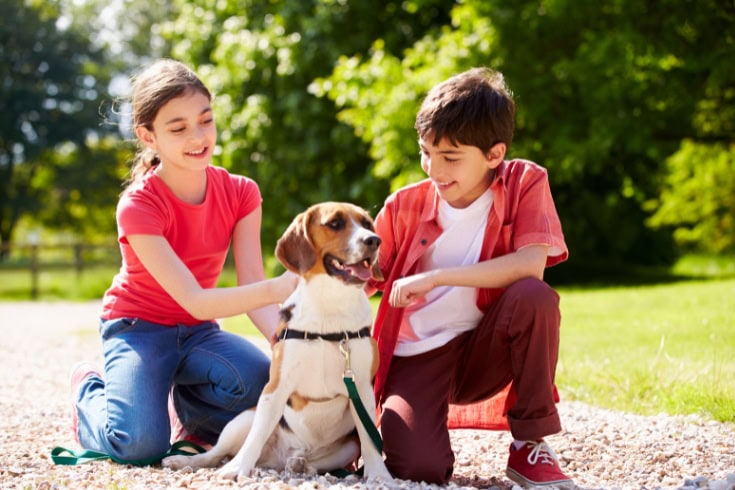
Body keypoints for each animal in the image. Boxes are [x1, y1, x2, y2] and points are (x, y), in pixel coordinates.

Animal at [161, 202, 392, 482]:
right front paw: (236, 469)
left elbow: (370, 440)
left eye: (367, 224)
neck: (330, 305)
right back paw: (186, 460)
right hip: (243, 420)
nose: (374, 240)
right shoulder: (275, 388)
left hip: (347, 447)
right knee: (216, 453)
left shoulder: (363, 390)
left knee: (315, 460)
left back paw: (300, 464)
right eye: (335, 223)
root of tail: (274, 459)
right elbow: (256, 436)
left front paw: (378, 474)